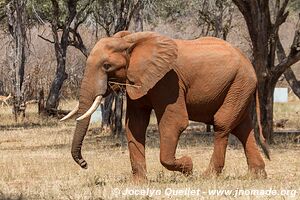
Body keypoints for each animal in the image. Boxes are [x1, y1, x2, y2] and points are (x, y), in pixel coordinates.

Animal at [61, 30, 270, 181]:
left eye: (106, 66)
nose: (85, 163)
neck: (130, 41)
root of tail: (250, 64)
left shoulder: (168, 81)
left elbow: (174, 123)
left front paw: (189, 167)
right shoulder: (138, 80)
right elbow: (135, 124)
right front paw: (138, 183)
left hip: (240, 83)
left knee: (223, 123)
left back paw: (208, 176)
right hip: (239, 87)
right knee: (242, 128)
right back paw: (257, 176)